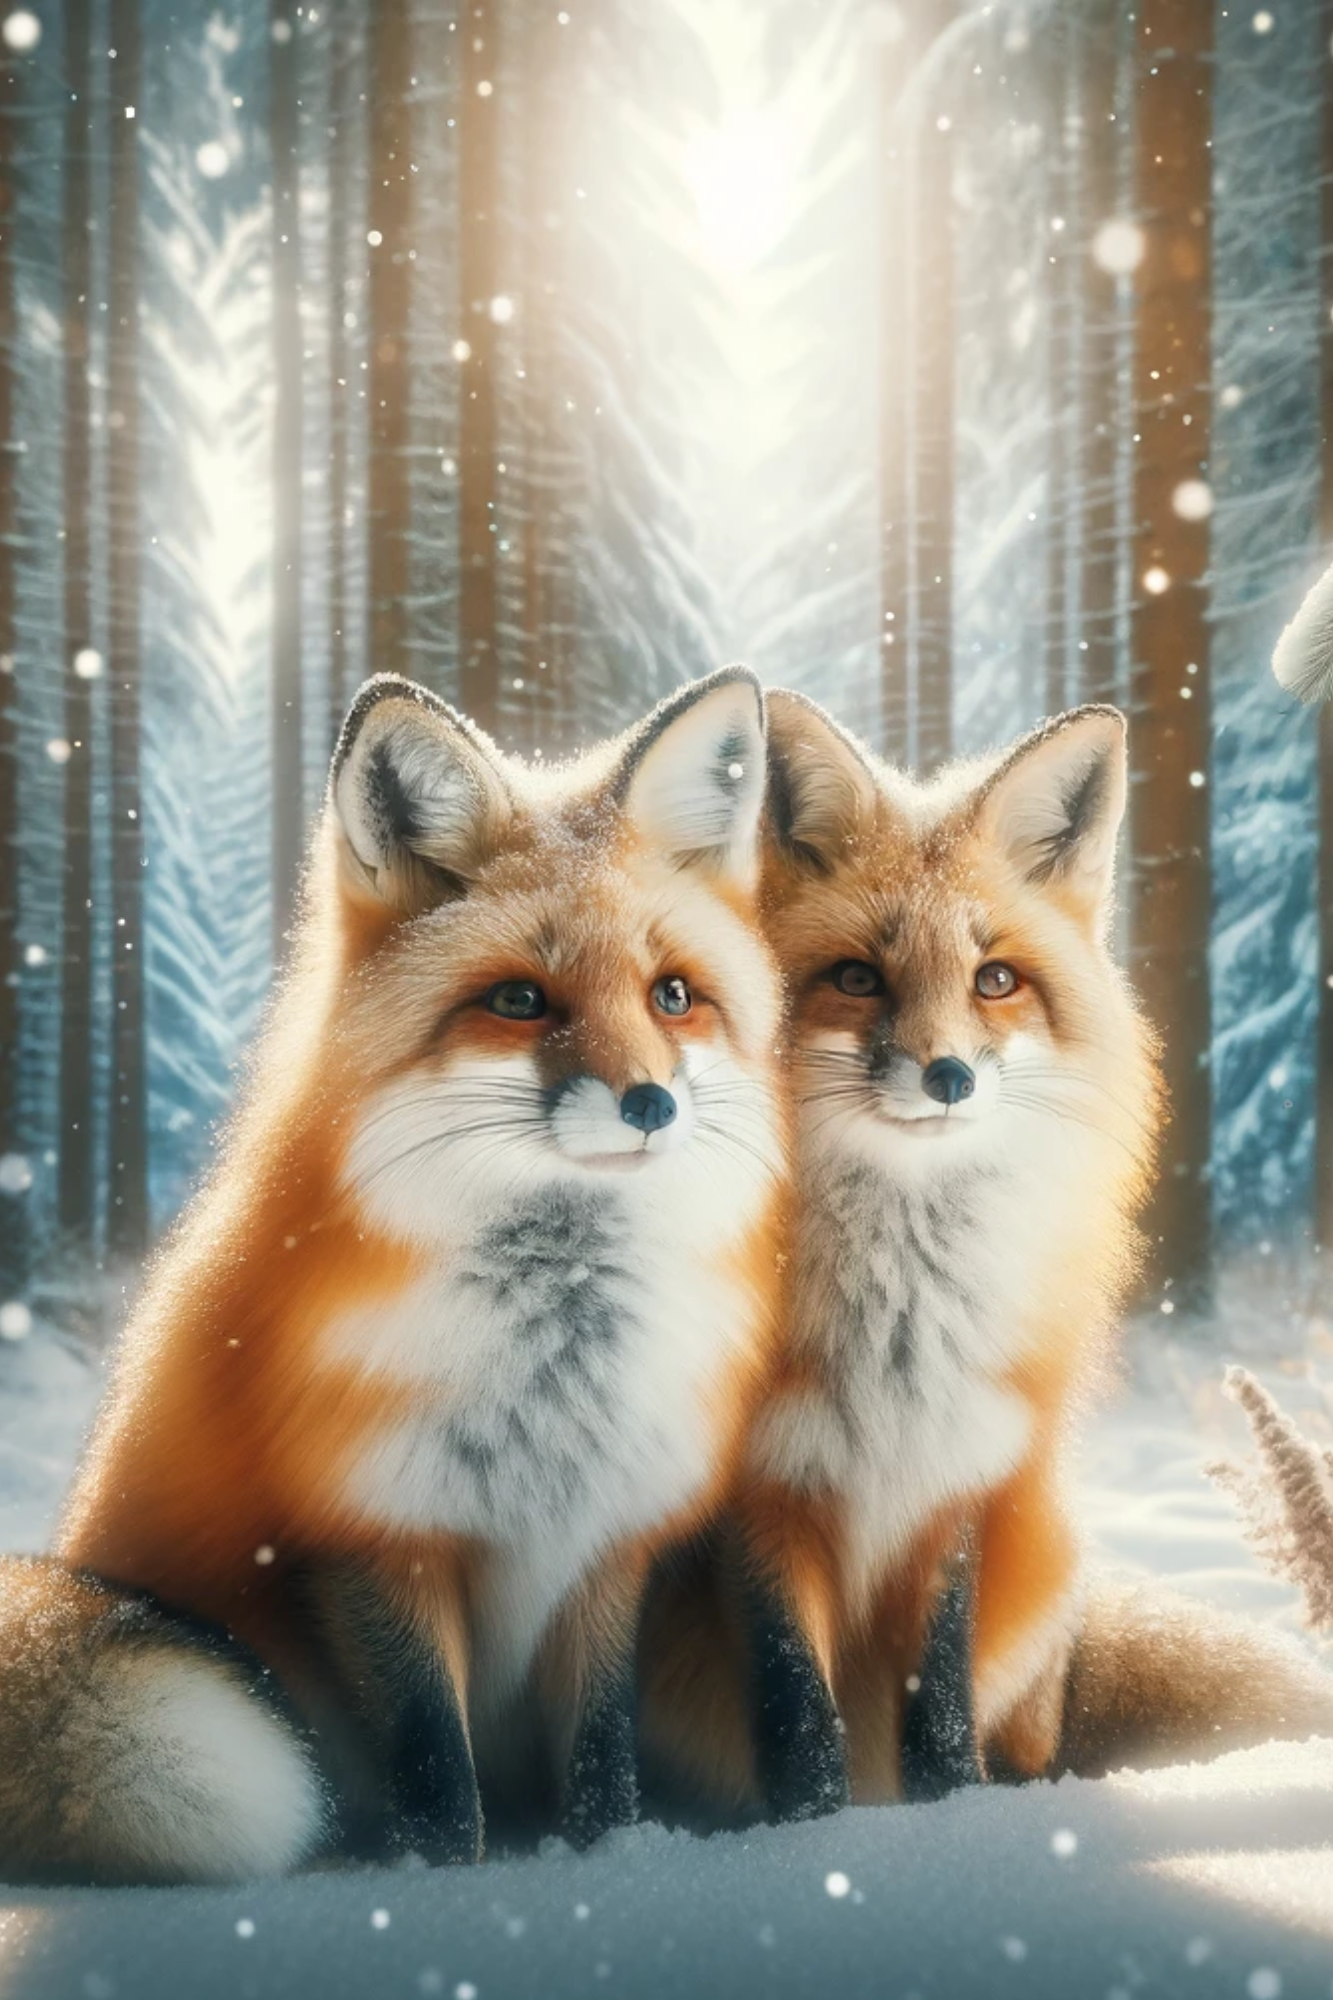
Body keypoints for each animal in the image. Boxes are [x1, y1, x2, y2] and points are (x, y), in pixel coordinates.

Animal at [0, 666, 791, 1884]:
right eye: (519, 1001)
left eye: (672, 995)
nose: (653, 1103)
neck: (552, 1384)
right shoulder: (371, 1538)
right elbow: (433, 1759)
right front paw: (440, 1882)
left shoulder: (608, 1545)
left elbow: (601, 1752)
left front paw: (611, 1863)